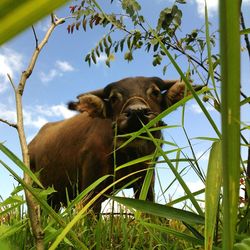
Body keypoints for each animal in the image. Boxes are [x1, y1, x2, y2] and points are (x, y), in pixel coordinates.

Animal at [28, 76, 201, 213]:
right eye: (113, 98)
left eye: (155, 92)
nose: (137, 112)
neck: (128, 154)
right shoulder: (91, 187)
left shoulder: (146, 180)